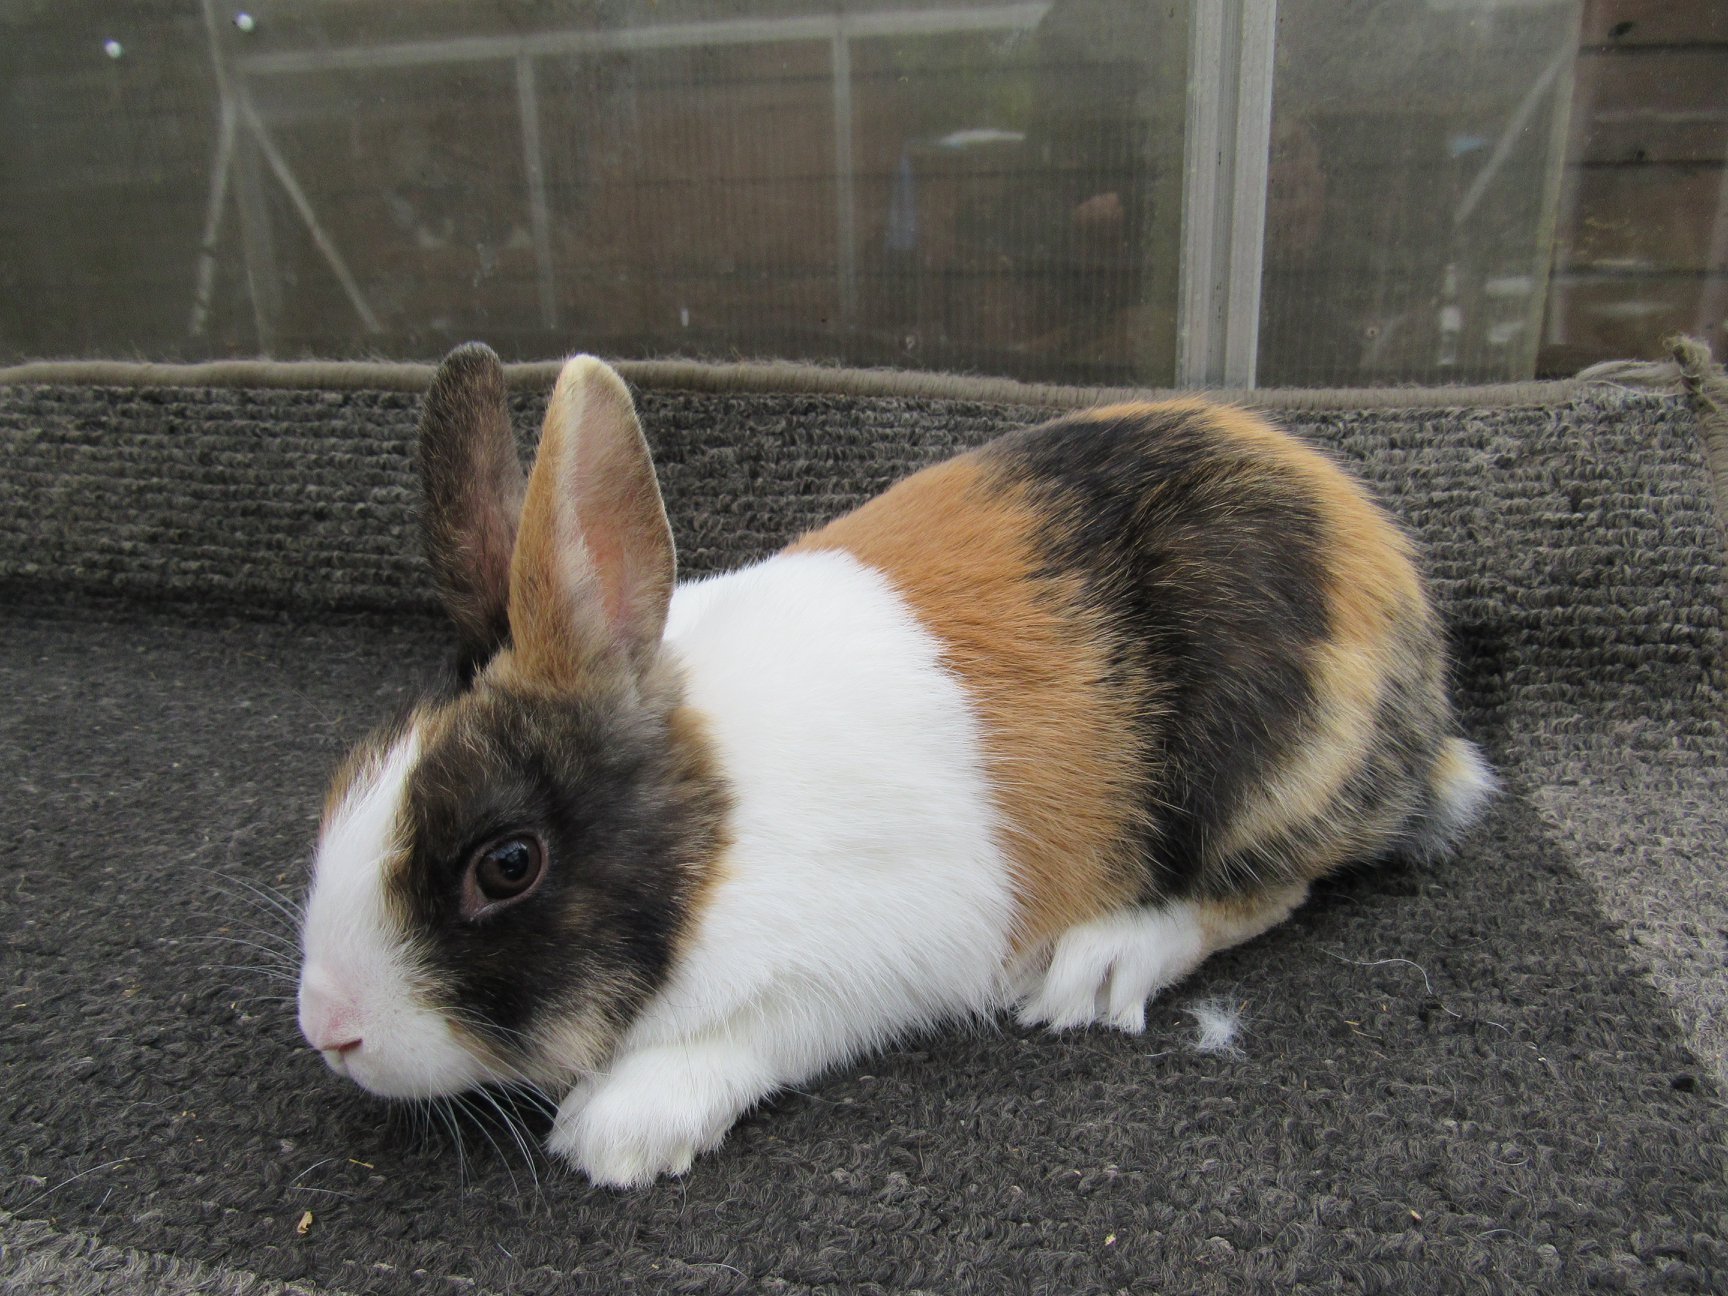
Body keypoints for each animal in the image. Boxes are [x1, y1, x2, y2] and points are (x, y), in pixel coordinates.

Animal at [297, 341, 1495, 1188]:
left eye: (507, 864)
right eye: (346, 780)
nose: (330, 1032)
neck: (717, 834)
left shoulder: (869, 961)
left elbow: (756, 1029)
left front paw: (620, 1130)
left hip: (1270, 770)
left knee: (1271, 887)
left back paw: (1100, 963)